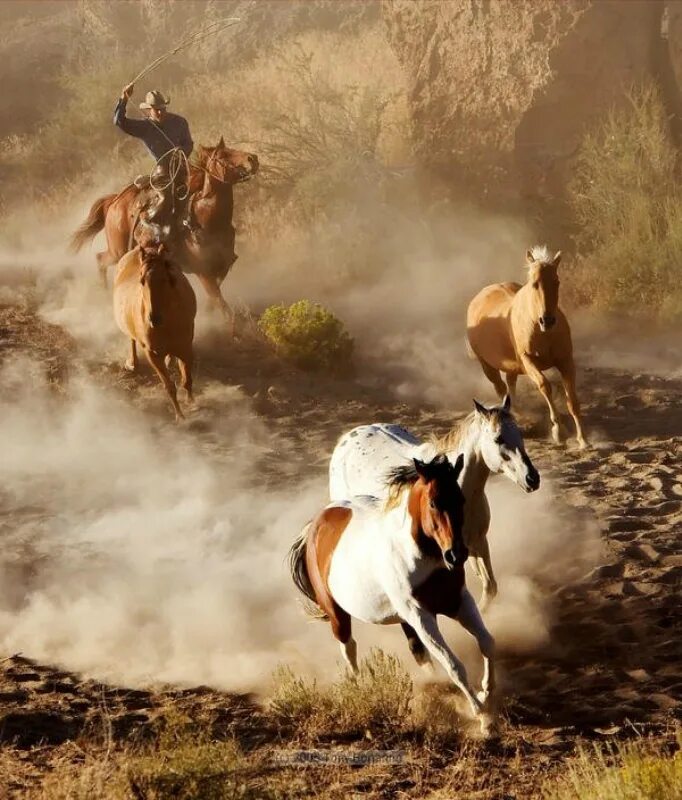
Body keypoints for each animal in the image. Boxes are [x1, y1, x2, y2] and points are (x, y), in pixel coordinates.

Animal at [71, 139, 256, 320]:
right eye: (222, 155)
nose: (252, 158)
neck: (206, 220)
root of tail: (114, 201)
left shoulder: (223, 266)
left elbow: (216, 296)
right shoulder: (203, 272)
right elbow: (221, 303)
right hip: (118, 251)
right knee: (100, 259)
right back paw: (105, 295)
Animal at [112, 242, 195, 418]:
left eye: (165, 279)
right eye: (142, 280)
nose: (154, 319)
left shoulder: (185, 347)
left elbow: (187, 380)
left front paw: (191, 403)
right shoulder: (153, 354)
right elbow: (169, 386)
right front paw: (180, 416)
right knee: (132, 340)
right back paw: (133, 363)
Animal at [286, 454, 494, 736]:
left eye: (460, 499)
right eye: (433, 502)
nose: (456, 555)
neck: (422, 556)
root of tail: (316, 524)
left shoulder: (459, 602)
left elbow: (487, 643)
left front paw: (486, 694)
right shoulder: (421, 615)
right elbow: (453, 664)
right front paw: (482, 715)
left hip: (405, 620)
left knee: (418, 652)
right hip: (338, 614)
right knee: (349, 648)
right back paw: (360, 687)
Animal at [326, 396, 540, 608]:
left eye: (519, 433)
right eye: (498, 439)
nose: (532, 478)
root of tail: (346, 439)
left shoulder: (476, 542)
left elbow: (490, 587)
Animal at [468, 245, 584, 450]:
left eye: (557, 282)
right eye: (534, 284)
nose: (547, 320)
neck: (542, 332)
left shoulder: (566, 361)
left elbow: (572, 400)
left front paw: (582, 439)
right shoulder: (529, 362)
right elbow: (545, 386)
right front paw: (558, 432)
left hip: (510, 366)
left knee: (510, 384)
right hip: (487, 366)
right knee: (500, 387)